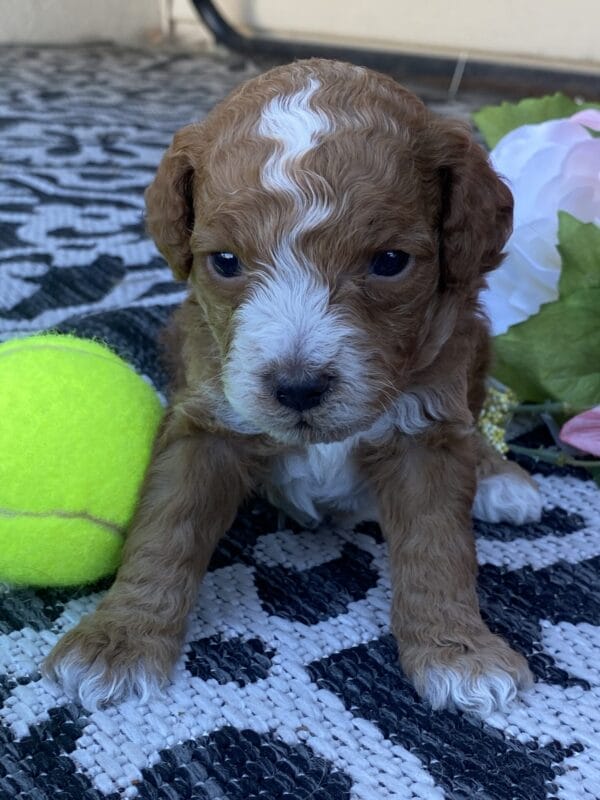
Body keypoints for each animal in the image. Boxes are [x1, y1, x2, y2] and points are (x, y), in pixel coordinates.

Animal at [47, 59, 540, 716]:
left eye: (389, 262)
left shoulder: (426, 431)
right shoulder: (207, 422)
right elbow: (166, 527)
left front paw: (458, 651)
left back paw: (499, 476)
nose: (299, 388)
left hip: (477, 344)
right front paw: (118, 638)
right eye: (225, 260)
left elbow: (439, 546)